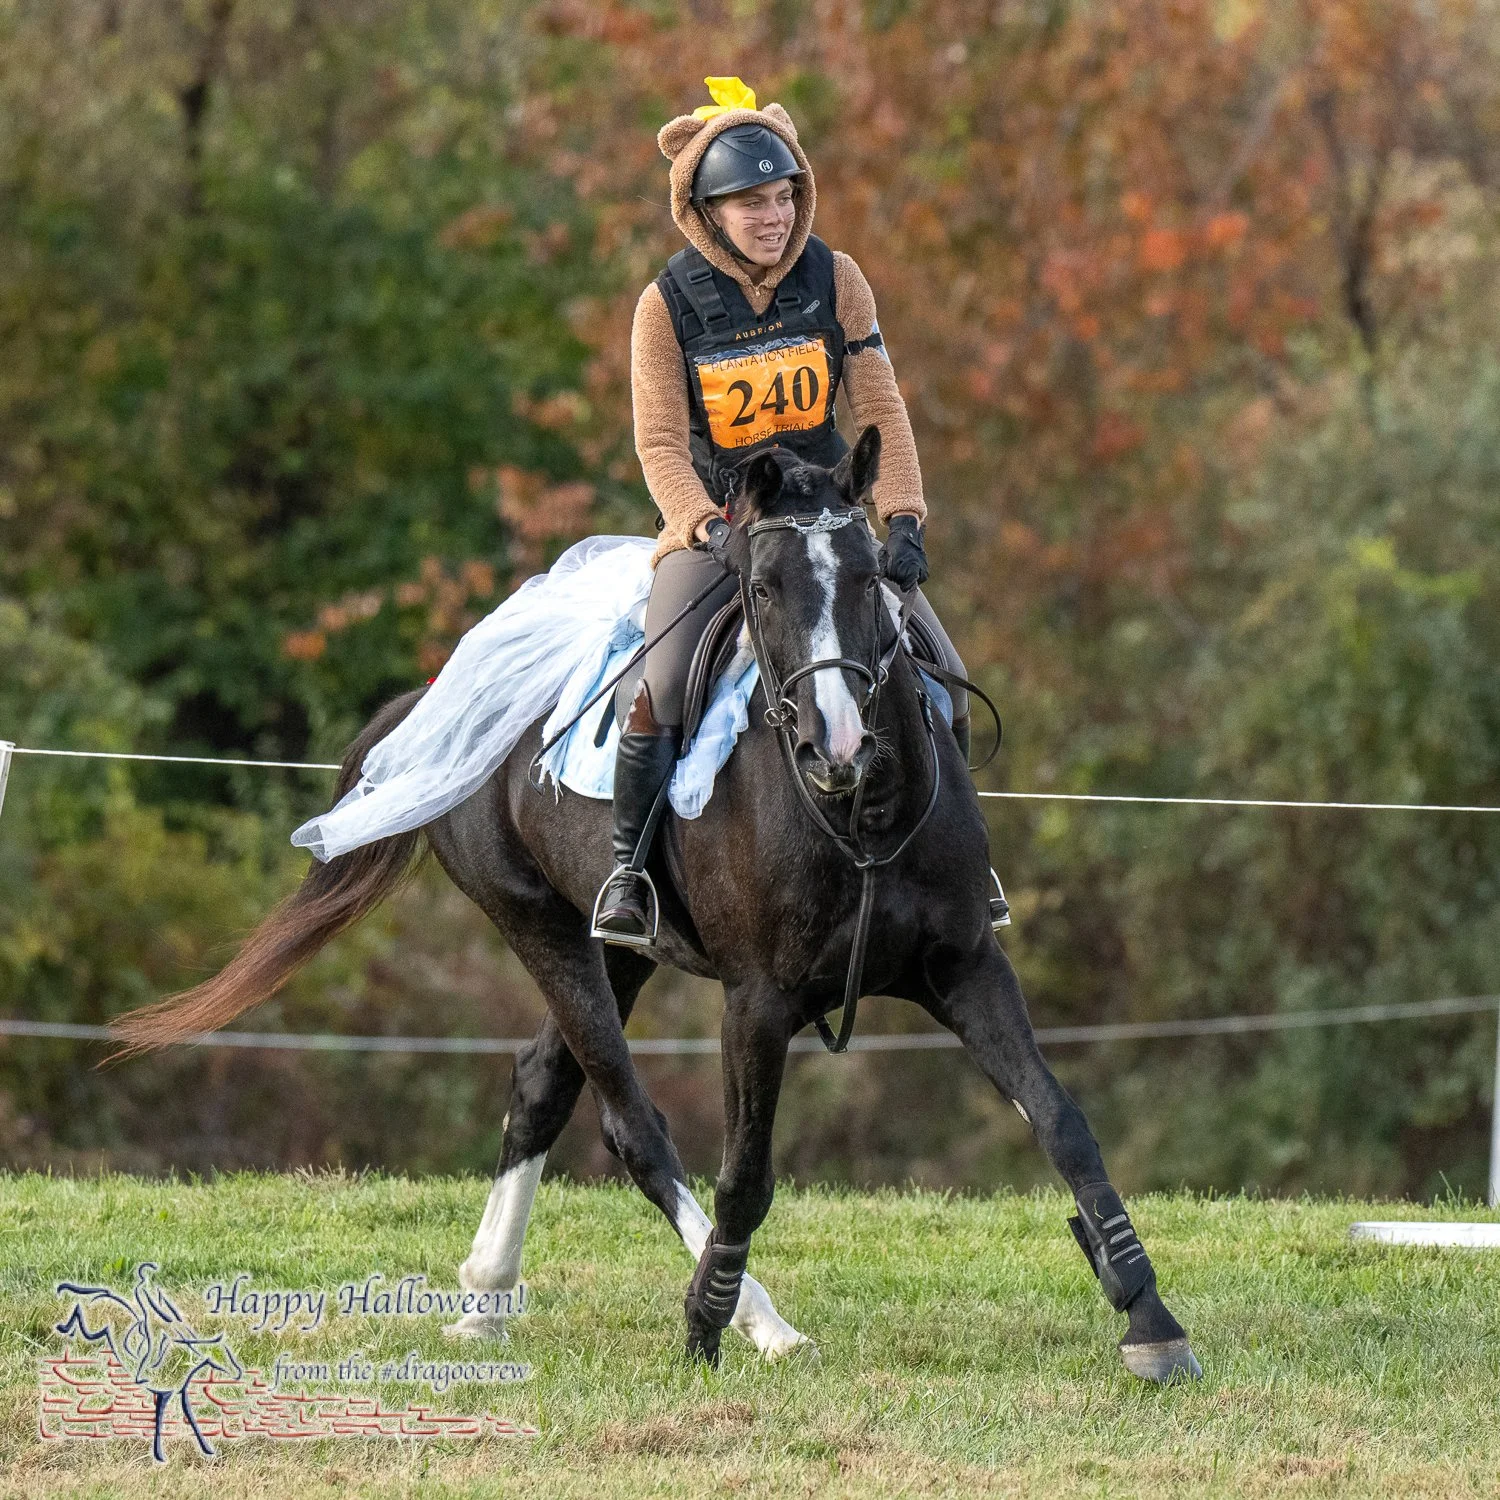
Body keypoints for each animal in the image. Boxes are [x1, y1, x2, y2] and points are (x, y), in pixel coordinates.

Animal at [110, 424, 1201, 1384]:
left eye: (874, 582)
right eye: (761, 589)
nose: (838, 748)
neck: (860, 814)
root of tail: (438, 708)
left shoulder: (966, 966)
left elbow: (1061, 1121)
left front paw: (1149, 1319)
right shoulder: (757, 1004)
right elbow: (746, 1171)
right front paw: (705, 1326)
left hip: (619, 946)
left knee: (541, 1083)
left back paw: (486, 1296)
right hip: (540, 927)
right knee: (631, 1123)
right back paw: (756, 1319)